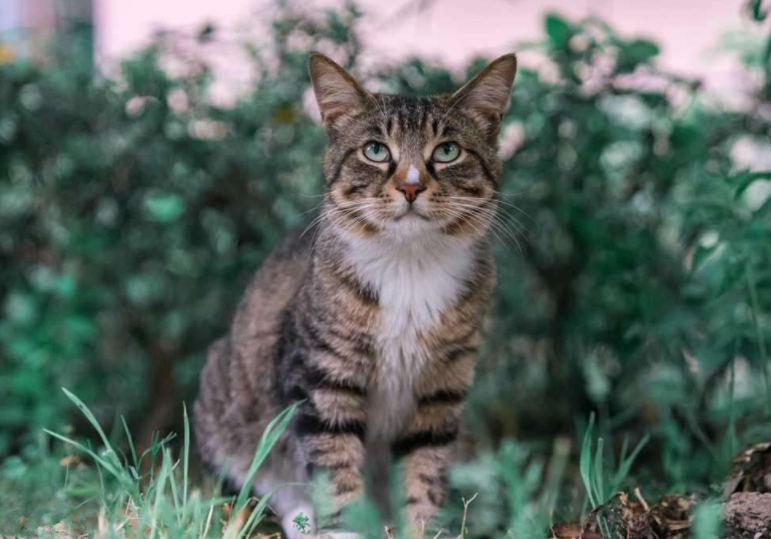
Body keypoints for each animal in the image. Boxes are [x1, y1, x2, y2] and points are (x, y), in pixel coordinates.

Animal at [193, 51, 520, 539]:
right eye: (375, 150)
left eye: (447, 151)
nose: (410, 186)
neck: (408, 267)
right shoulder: (322, 377)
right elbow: (335, 464)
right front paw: (343, 529)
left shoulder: (441, 388)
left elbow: (425, 468)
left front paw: (421, 527)